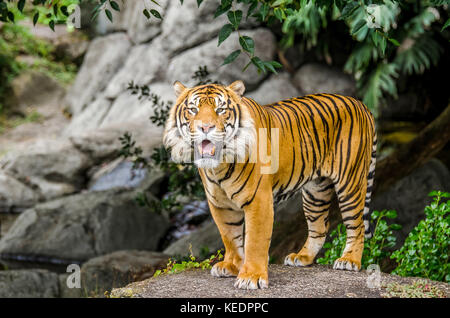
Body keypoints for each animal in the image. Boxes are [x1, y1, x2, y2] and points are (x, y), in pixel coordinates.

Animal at [162, 78, 376, 290]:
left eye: (221, 110)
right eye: (193, 110)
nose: (205, 128)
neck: (220, 165)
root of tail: (360, 103)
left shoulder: (259, 200)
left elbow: (255, 241)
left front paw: (251, 277)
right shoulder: (220, 204)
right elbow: (230, 236)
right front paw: (231, 266)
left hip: (350, 183)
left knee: (357, 225)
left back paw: (349, 260)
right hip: (315, 192)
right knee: (319, 227)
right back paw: (302, 257)